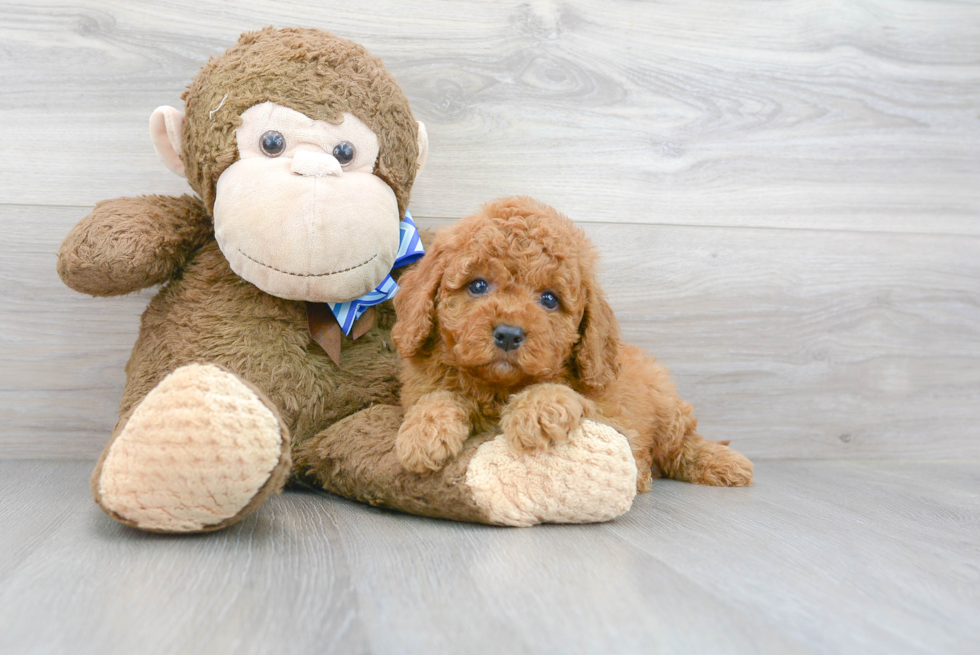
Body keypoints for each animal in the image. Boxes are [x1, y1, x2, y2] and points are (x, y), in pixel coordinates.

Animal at [388, 197, 752, 490]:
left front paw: (535, 411)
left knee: (684, 446)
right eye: (478, 285)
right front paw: (423, 434)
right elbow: (438, 397)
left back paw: (726, 464)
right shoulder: (424, 385)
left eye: (550, 299)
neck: (498, 389)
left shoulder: (616, 422)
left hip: (667, 411)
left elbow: (572, 397)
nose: (508, 334)